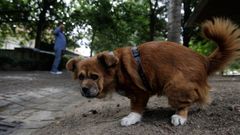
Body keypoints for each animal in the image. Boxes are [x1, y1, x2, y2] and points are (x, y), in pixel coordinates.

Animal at [65, 17, 240, 126]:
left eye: (95, 77)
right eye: (80, 77)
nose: (84, 89)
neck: (117, 69)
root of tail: (203, 59)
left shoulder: (138, 92)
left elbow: (135, 107)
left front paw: (132, 117)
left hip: (174, 86)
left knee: (185, 103)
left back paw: (179, 116)